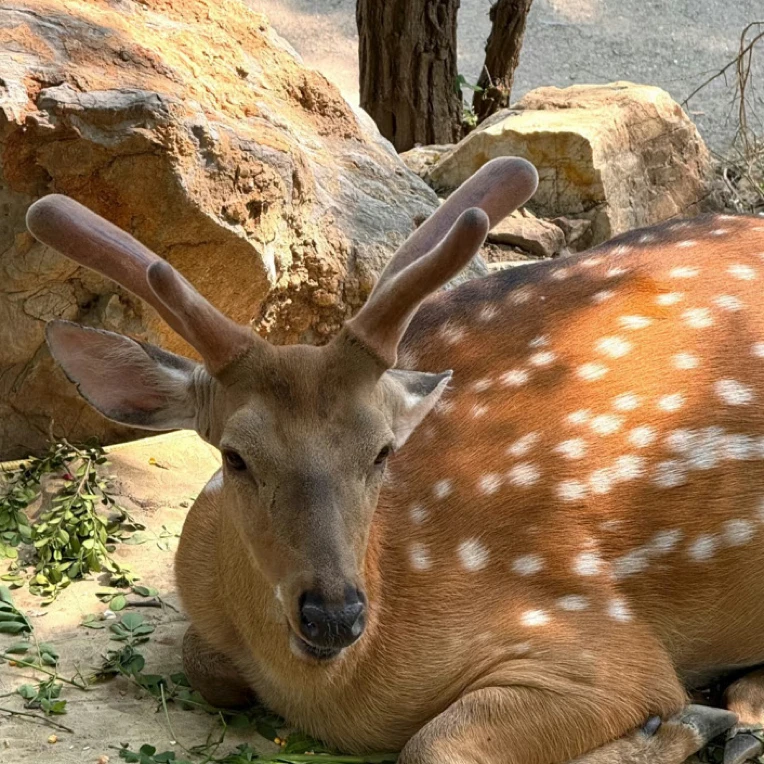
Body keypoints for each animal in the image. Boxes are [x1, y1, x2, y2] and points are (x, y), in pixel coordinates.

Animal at [25, 156, 764, 764]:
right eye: (235, 456)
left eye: (382, 449)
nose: (333, 615)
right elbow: (202, 661)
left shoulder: (598, 637)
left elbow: (431, 746)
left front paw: (681, 724)